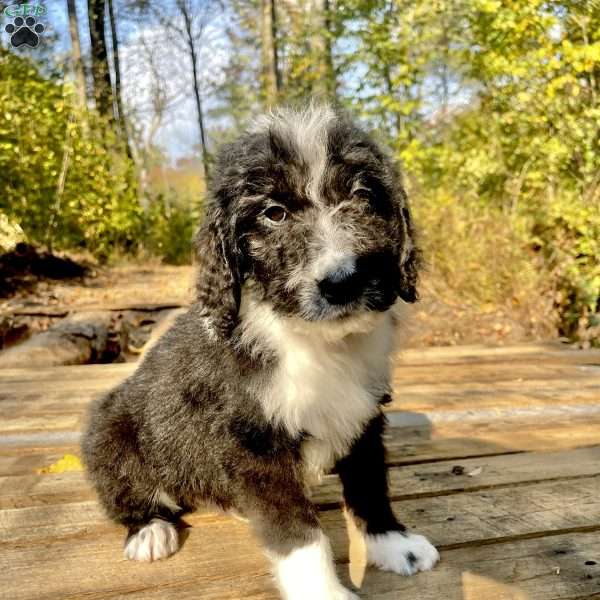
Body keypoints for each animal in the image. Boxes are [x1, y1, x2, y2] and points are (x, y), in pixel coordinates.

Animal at [82, 105, 438, 596]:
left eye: (363, 196)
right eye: (274, 213)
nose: (343, 281)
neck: (316, 343)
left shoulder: (364, 415)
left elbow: (369, 486)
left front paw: (392, 543)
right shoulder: (254, 444)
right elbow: (299, 532)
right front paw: (323, 591)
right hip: (109, 436)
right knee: (127, 498)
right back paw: (150, 530)